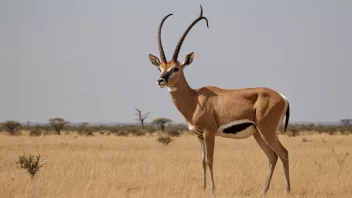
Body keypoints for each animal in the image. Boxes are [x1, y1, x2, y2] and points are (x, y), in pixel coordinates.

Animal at [147, 5, 290, 194]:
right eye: (160, 68)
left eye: (175, 68)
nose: (160, 80)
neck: (194, 99)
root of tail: (282, 97)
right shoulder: (198, 135)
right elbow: (201, 161)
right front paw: (203, 188)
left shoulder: (209, 132)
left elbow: (209, 160)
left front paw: (213, 189)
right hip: (258, 134)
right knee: (272, 157)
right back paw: (263, 191)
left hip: (267, 132)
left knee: (283, 153)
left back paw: (287, 190)